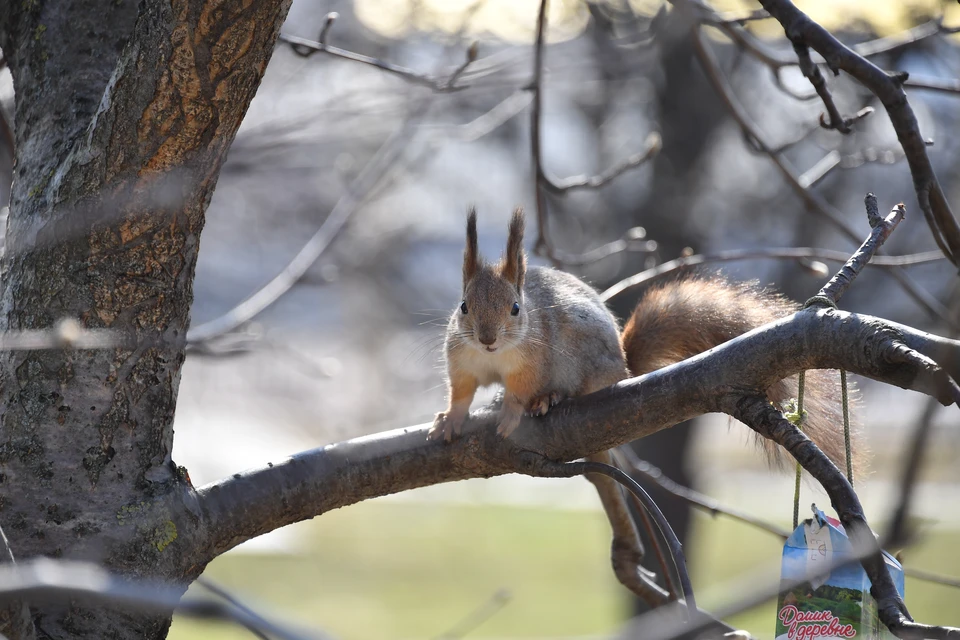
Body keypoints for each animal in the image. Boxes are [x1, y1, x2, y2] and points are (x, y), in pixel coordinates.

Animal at [432, 205, 852, 476]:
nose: (487, 339)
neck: (493, 357)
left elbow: (521, 387)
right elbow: (461, 391)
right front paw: (449, 419)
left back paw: (550, 397)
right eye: (464, 306)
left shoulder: (533, 359)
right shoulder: (462, 360)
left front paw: (512, 410)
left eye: (516, 309)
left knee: (580, 386)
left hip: (586, 360)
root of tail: (623, 363)